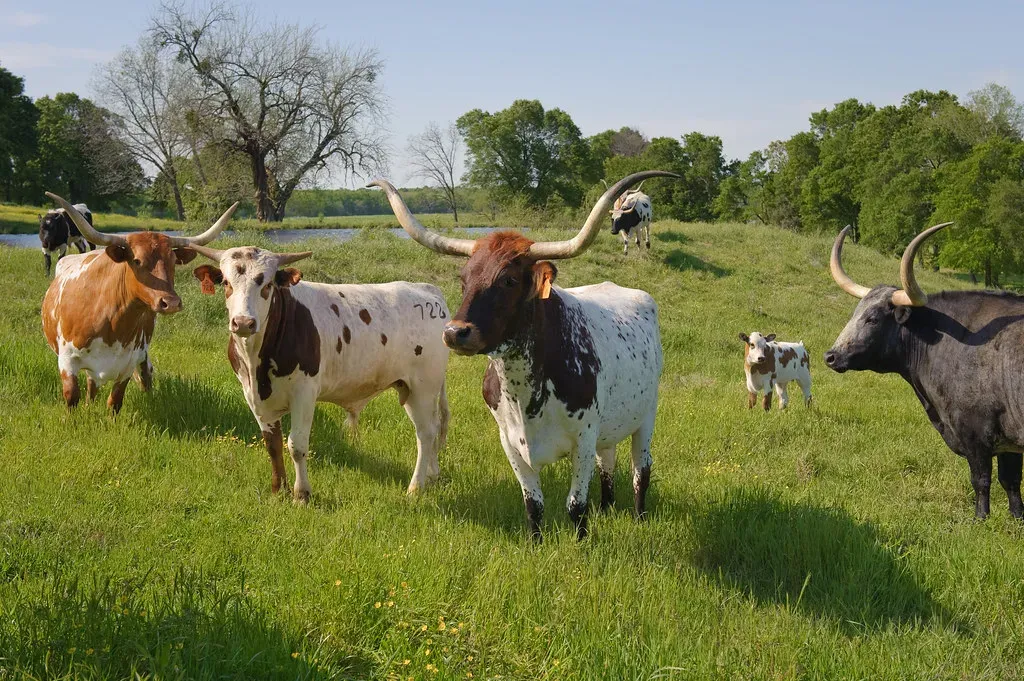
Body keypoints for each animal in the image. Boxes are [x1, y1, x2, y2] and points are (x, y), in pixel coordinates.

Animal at [41, 193, 236, 413]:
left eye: (173, 261)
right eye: (136, 260)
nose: (171, 302)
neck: (109, 319)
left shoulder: (128, 363)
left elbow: (115, 402)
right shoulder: (67, 360)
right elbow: (72, 397)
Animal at [188, 245, 451, 504]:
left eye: (268, 284)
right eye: (226, 282)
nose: (243, 322)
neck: (256, 364)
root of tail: (428, 290)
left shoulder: (304, 393)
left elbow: (296, 445)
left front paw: (301, 494)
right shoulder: (252, 396)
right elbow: (272, 444)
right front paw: (278, 490)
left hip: (423, 387)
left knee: (426, 433)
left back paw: (415, 488)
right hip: (411, 388)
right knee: (433, 426)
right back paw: (432, 474)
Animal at [371, 170, 678, 541]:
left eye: (509, 280)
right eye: (463, 279)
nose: (454, 332)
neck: (523, 390)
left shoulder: (584, 438)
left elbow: (576, 505)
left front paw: (581, 543)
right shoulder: (510, 442)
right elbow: (533, 504)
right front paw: (535, 543)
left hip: (646, 417)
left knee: (640, 471)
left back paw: (639, 516)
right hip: (610, 427)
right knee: (608, 464)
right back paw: (607, 508)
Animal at [824, 222, 1024, 520]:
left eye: (872, 319)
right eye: (854, 314)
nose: (831, 356)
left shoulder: (975, 433)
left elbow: (981, 480)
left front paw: (980, 519)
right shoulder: (1007, 444)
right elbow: (1010, 482)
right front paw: (1017, 518)